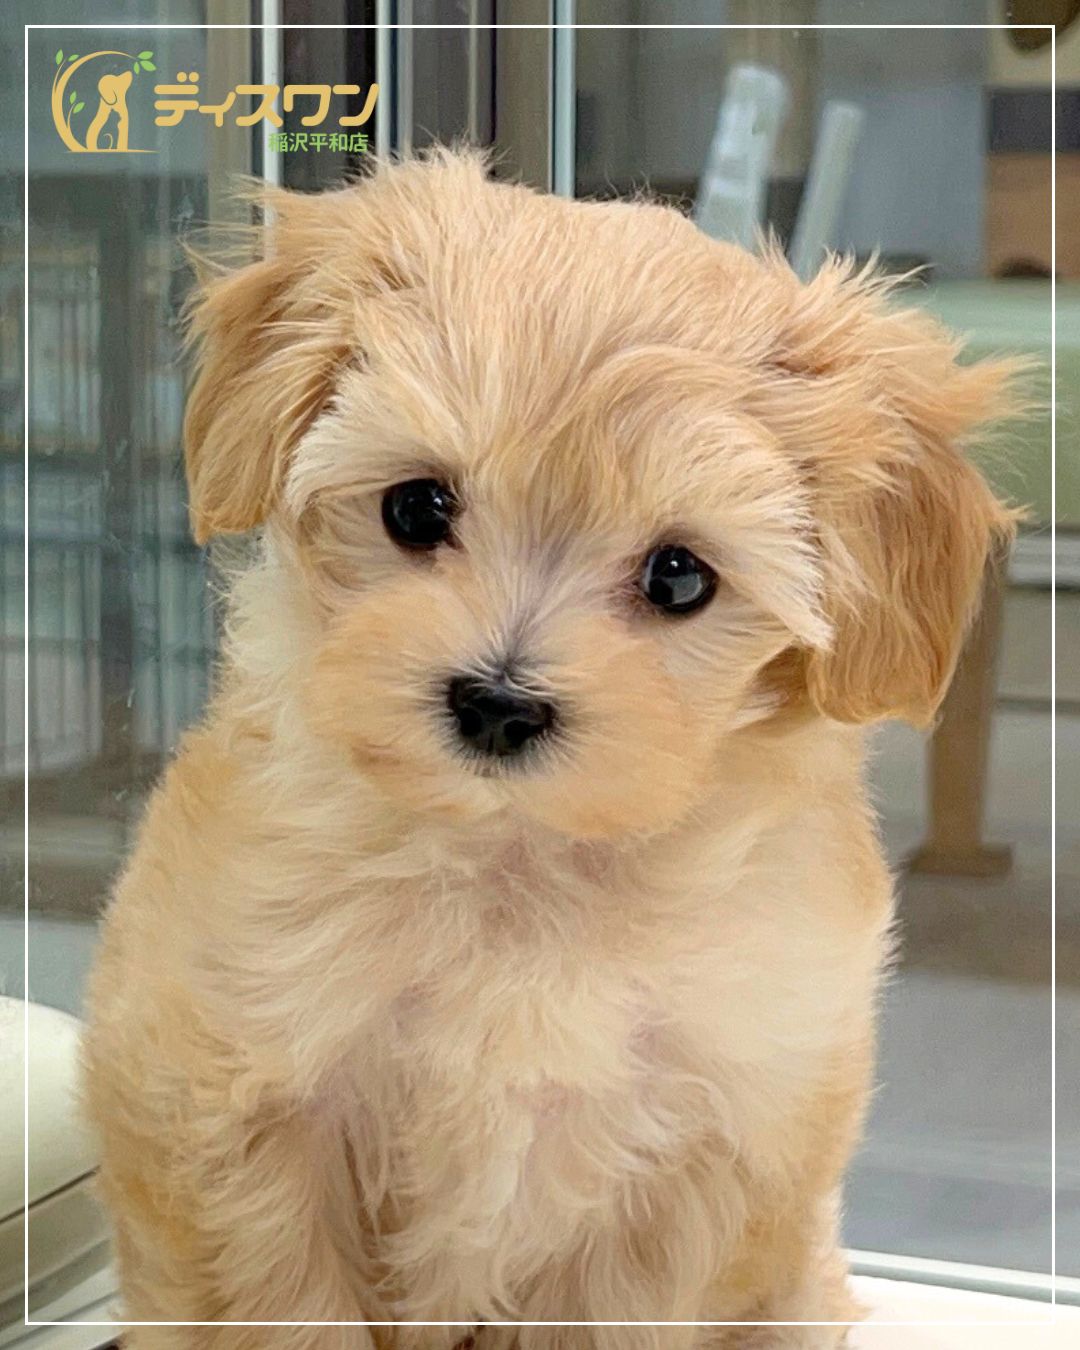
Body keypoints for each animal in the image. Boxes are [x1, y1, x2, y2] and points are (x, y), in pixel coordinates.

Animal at [82, 150, 1018, 1348]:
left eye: (680, 576)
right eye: (416, 507)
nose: (498, 703)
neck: (519, 864)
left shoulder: (696, 1152)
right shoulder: (249, 1102)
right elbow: (286, 1298)